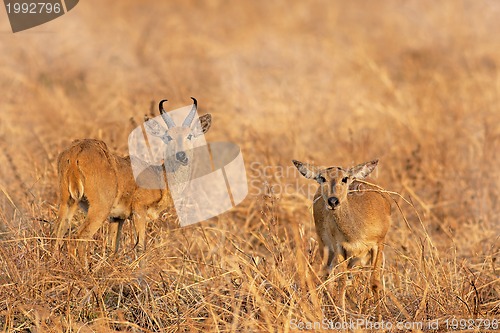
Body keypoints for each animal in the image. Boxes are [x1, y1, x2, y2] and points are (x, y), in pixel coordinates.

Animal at [53, 98, 211, 260]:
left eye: (190, 135)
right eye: (167, 137)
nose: (181, 155)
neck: (160, 177)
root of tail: (75, 152)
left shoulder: (117, 218)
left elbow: (112, 247)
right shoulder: (139, 211)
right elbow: (140, 247)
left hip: (68, 201)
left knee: (58, 231)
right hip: (99, 208)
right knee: (79, 236)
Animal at [292, 160, 390, 294]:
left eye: (344, 178)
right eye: (322, 178)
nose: (333, 201)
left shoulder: (378, 243)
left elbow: (374, 282)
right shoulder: (338, 246)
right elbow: (342, 280)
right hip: (325, 246)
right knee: (328, 273)